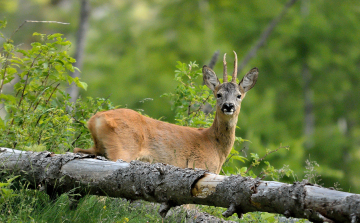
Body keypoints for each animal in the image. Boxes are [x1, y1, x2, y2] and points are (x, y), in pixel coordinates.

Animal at [74, 51, 258, 174]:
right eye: (218, 94)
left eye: (239, 95)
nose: (228, 106)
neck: (215, 145)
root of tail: (95, 119)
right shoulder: (197, 166)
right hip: (122, 150)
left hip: (96, 148)